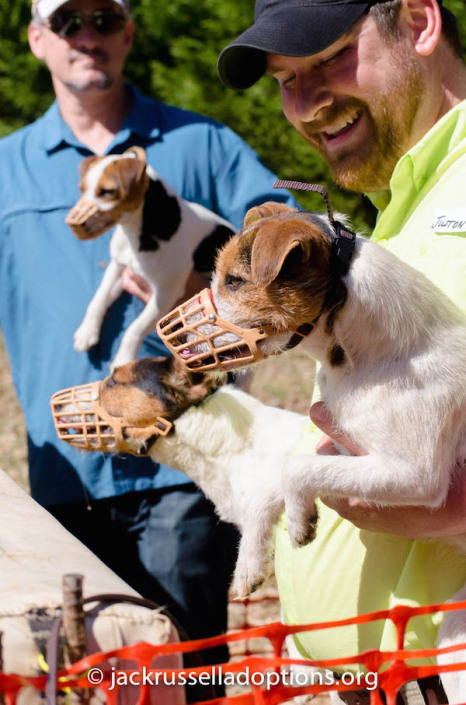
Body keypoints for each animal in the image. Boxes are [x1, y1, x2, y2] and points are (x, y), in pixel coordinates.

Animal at [67, 146, 235, 372]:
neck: (134, 230)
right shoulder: (118, 268)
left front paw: (123, 359)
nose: (76, 223)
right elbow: (98, 299)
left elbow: (135, 328)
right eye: (82, 189)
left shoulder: (165, 293)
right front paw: (87, 331)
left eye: (107, 192)